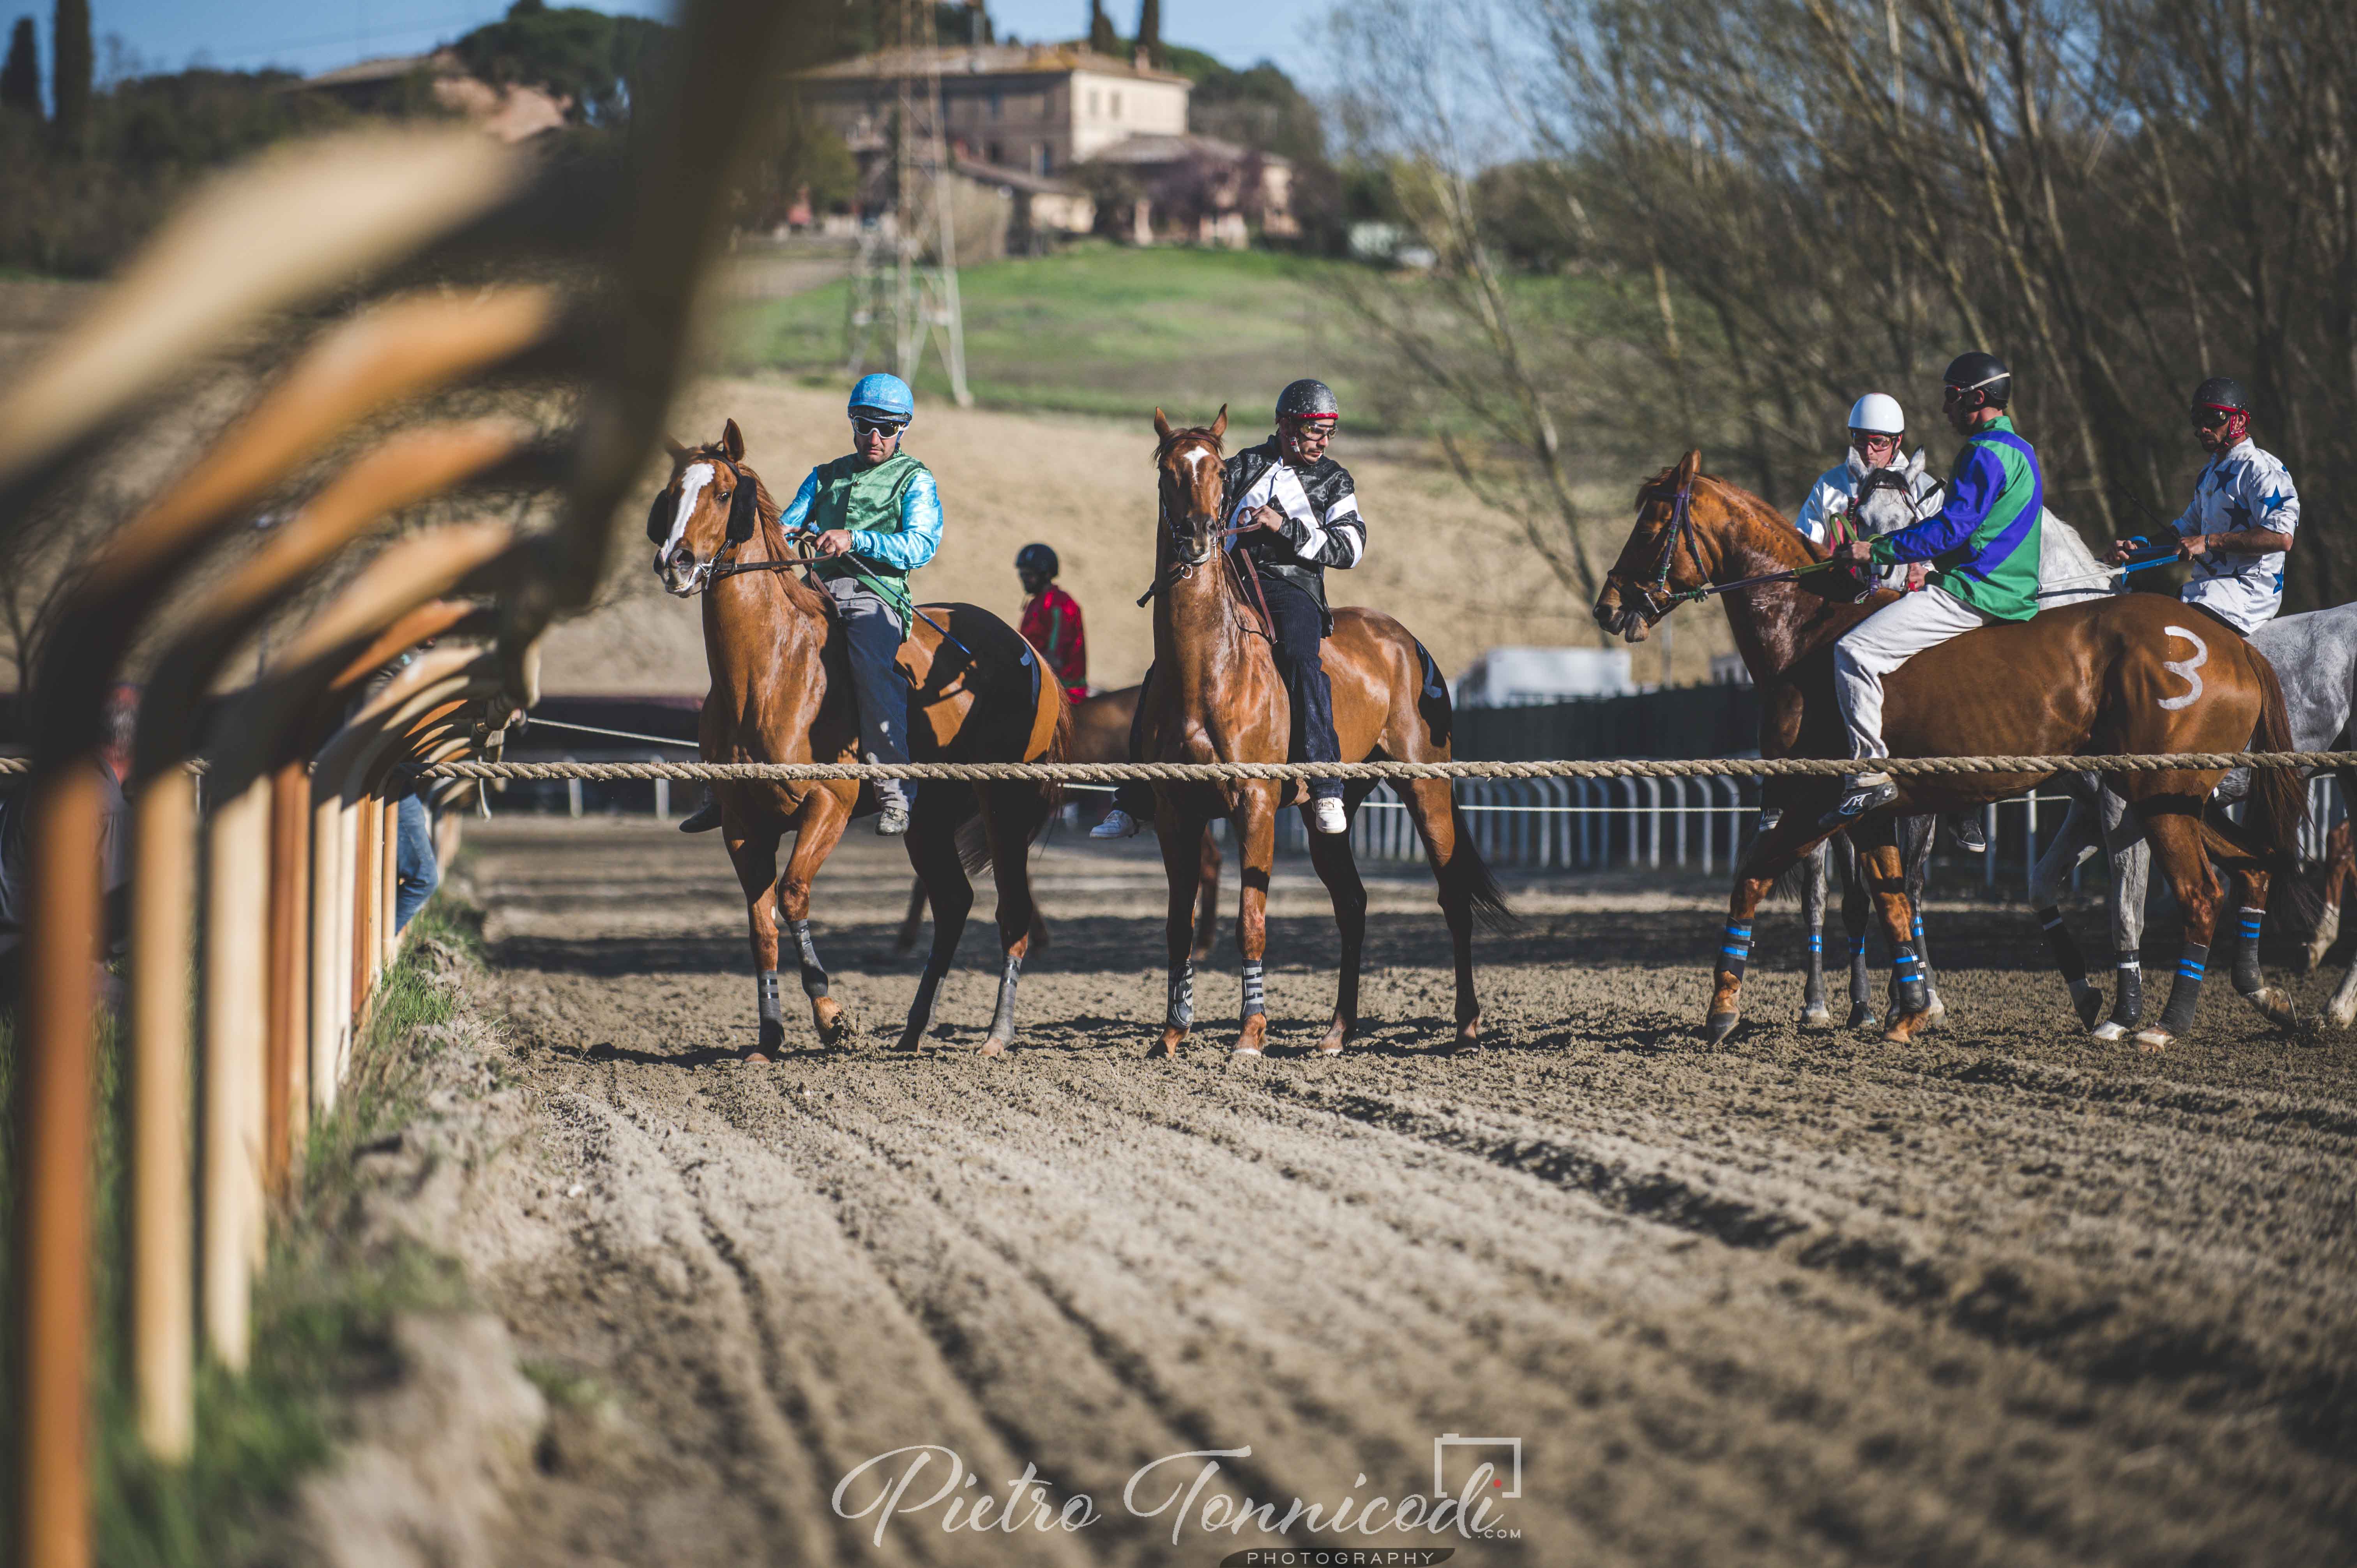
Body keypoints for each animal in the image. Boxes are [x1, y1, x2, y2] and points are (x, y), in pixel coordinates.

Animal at [655, 415, 1079, 1056]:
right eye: (672, 492)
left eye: (725, 494)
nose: (675, 562)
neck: (772, 672)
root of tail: (1030, 656)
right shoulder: (741, 824)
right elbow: (760, 927)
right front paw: (769, 1037)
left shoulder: (827, 805)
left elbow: (792, 895)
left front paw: (832, 1017)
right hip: (929, 820)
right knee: (954, 903)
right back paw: (912, 1029)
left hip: (1004, 804)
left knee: (1013, 911)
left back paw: (997, 1033)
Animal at [1141, 410, 1508, 1056]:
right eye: (1169, 472)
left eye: (1218, 470)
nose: (1198, 537)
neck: (1209, 668)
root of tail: (1406, 642)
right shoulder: (1174, 814)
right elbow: (1178, 926)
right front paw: (1172, 1033)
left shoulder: (1255, 803)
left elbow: (1251, 923)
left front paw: (1251, 1035)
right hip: (1331, 811)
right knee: (1353, 905)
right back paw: (1338, 1030)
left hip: (1427, 787)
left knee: (1453, 897)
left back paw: (1466, 1024)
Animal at [1584, 445, 2300, 1047]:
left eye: (1650, 524)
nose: (1607, 607)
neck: (1808, 631)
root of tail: (2228, 644)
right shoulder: (1868, 812)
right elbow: (1892, 902)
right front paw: (1910, 1010)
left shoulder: (1816, 797)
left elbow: (1752, 876)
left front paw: (1722, 1007)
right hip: (2170, 797)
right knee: (2254, 865)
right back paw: (2264, 996)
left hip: (2159, 795)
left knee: (2201, 893)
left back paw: (2166, 1023)